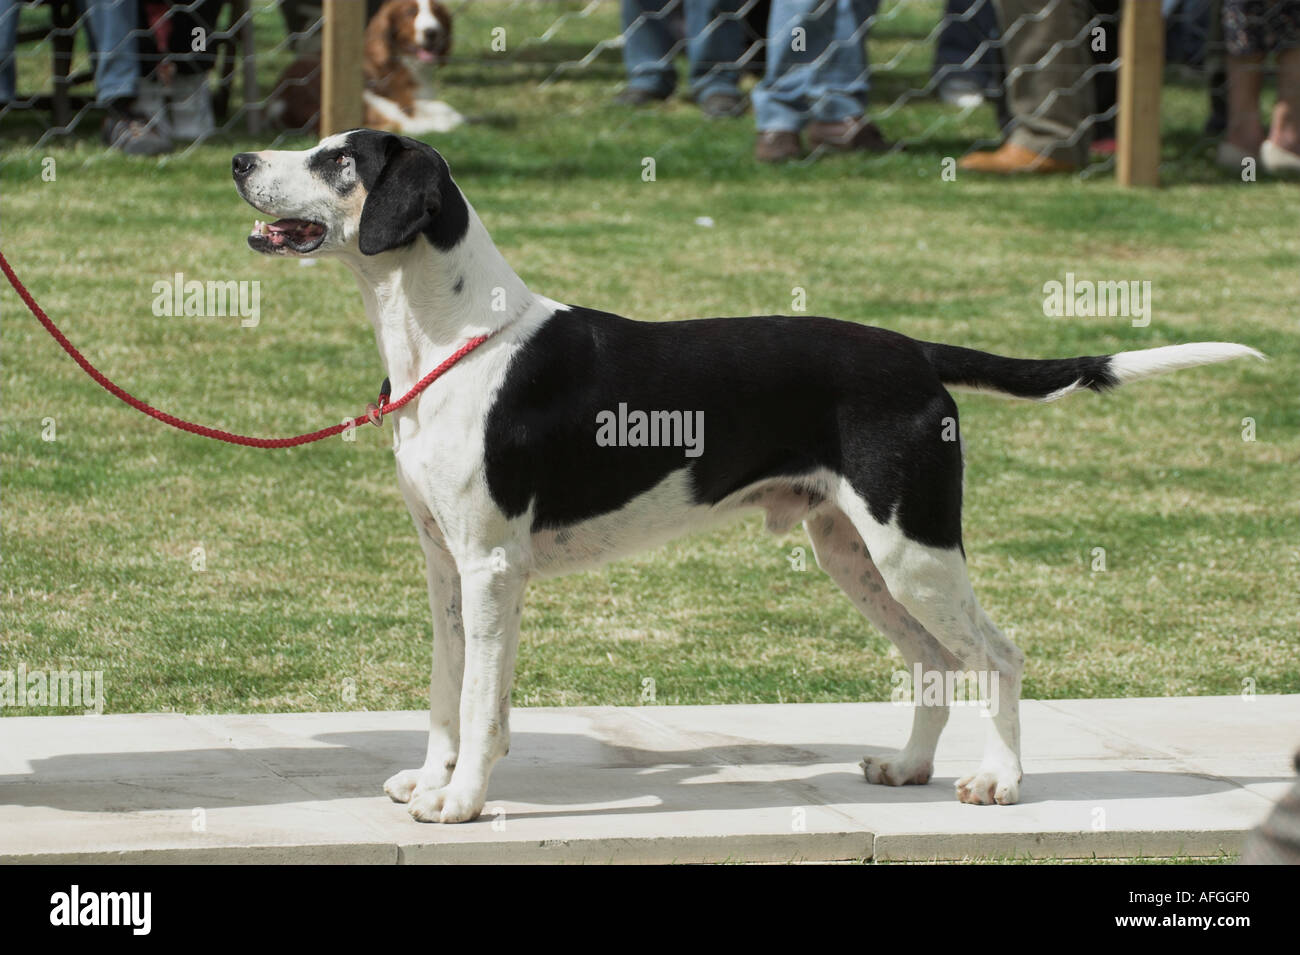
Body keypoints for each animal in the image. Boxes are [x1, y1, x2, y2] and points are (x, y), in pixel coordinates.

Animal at [233, 130, 1258, 826]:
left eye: (338, 161)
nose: (241, 158)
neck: (453, 340)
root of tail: (917, 353)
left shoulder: (492, 568)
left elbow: (483, 702)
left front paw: (463, 802)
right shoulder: (444, 564)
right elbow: (447, 692)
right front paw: (433, 780)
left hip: (916, 547)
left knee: (998, 655)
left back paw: (999, 781)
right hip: (853, 553)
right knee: (933, 659)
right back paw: (907, 771)